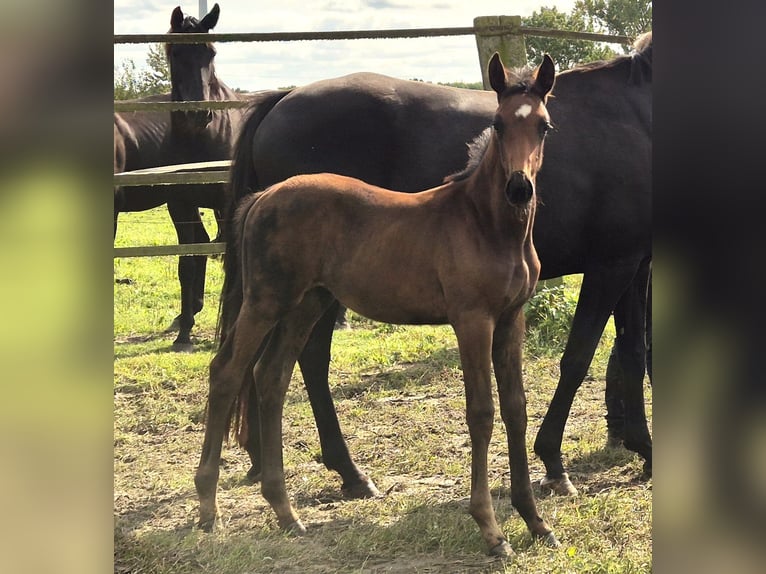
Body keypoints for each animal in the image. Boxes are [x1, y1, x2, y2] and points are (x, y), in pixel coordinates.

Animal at [113, 3, 247, 351]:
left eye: (211, 52)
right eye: (175, 53)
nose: (198, 113)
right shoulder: (181, 203)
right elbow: (187, 261)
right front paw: (185, 332)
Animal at [197, 53, 558, 557]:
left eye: (544, 126)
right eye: (497, 123)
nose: (519, 189)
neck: (485, 224)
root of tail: (263, 197)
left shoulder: (510, 318)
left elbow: (516, 409)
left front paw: (535, 521)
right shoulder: (472, 319)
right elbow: (482, 413)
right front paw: (491, 530)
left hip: (308, 302)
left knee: (272, 376)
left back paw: (286, 512)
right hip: (267, 300)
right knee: (228, 371)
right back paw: (209, 507)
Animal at [224, 33, 652, 498]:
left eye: (545, 127)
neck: (635, 114)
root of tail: (284, 98)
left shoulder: (636, 263)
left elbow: (633, 352)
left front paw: (644, 448)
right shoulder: (611, 264)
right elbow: (578, 358)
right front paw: (555, 461)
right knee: (309, 361)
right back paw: (348, 472)